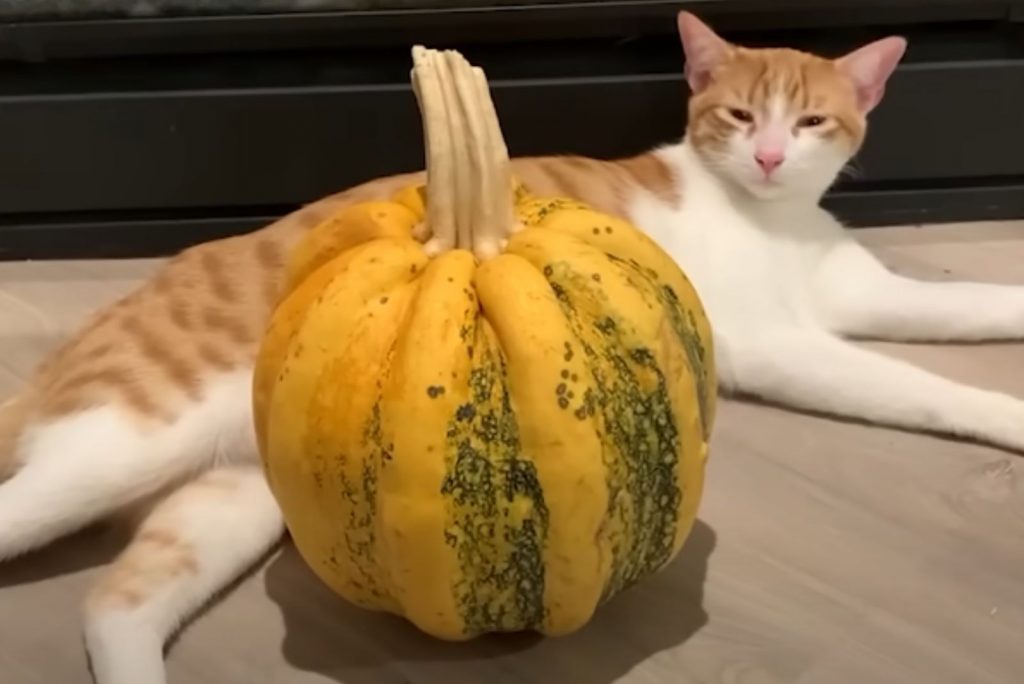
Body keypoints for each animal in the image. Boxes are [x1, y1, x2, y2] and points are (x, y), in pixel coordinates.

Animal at [2, 10, 1024, 684]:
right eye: (739, 117)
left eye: (811, 122)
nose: (771, 157)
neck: (772, 218)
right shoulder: (777, 345)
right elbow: (913, 383)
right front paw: (1003, 412)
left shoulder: (872, 294)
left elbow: (974, 304)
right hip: (124, 442)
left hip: (232, 500)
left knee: (116, 606)